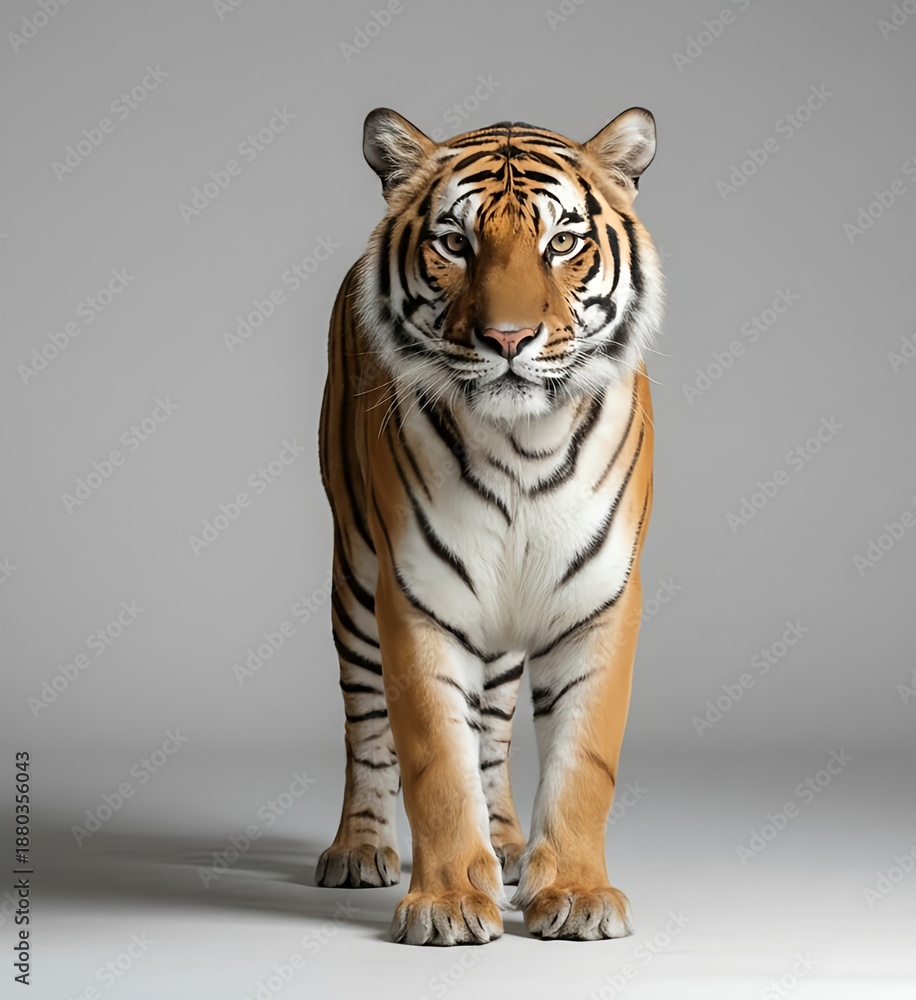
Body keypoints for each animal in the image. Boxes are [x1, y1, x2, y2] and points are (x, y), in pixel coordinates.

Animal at [316, 107, 663, 945]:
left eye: (562, 243)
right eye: (454, 243)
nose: (507, 339)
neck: (523, 446)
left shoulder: (600, 602)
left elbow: (581, 761)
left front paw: (575, 894)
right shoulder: (415, 599)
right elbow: (434, 760)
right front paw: (444, 905)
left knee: (496, 731)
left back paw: (504, 844)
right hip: (353, 581)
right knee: (364, 724)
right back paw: (359, 851)